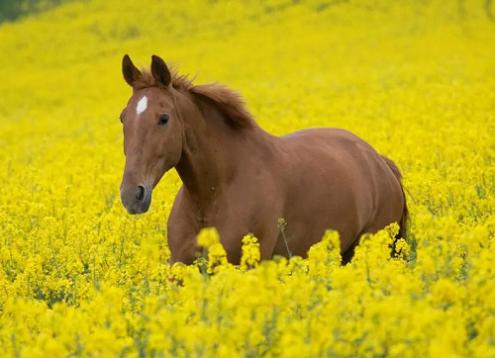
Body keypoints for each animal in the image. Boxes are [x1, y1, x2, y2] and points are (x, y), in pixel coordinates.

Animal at [119, 54, 406, 264]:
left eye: (164, 118)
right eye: (123, 118)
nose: (132, 195)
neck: (213, 194)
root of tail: (380, 162)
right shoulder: (179, 265)